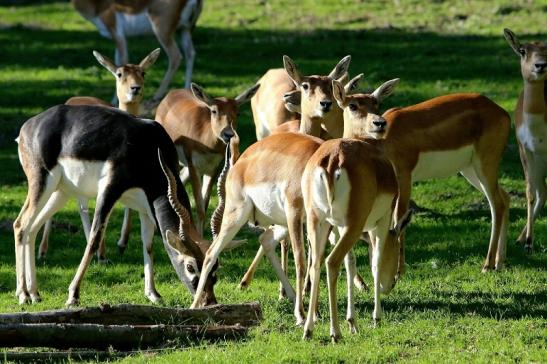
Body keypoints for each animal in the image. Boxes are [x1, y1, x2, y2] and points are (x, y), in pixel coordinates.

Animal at [13, 103, 226, 308]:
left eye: (214, 267)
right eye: (190, 266)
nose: (209, 301)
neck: (149, 146)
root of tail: (28, 126)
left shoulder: (146, 207)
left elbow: (148, 245)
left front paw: (153, 295)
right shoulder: (109, 190)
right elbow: (94, 239)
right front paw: (73, 295)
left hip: (61, 193)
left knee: (33, 229)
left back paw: (34, 293)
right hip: (41, 182)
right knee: (20, 225)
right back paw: (23, 295)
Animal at [38, 48, 161, 264]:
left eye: (143, 72)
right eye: (119, 73)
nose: (135, 88)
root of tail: (75, 98)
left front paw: (121, 243)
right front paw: (103, 252)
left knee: (80, 205)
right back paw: (43, 251)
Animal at [155, 81, 260, 235]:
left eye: (238, 112)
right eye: (214, 111)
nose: (228, 134)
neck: (207, 145)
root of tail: (171, 94)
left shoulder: (212, 169)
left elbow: (204, 204)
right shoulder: (194, 166)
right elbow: (199, 206)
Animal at [300, 79, 412, 342]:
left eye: (376, 103)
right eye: (353, 105)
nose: (380, 123)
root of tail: (332, 160)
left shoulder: (339, 226)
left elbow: (351, 265)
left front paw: (353, 322)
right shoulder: (380, 222)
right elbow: (375, 261)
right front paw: (375, 318)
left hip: (317, 222)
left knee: (316, 264)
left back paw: (309, 329)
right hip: (354, 224)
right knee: (331, 262)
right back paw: (335, 332)